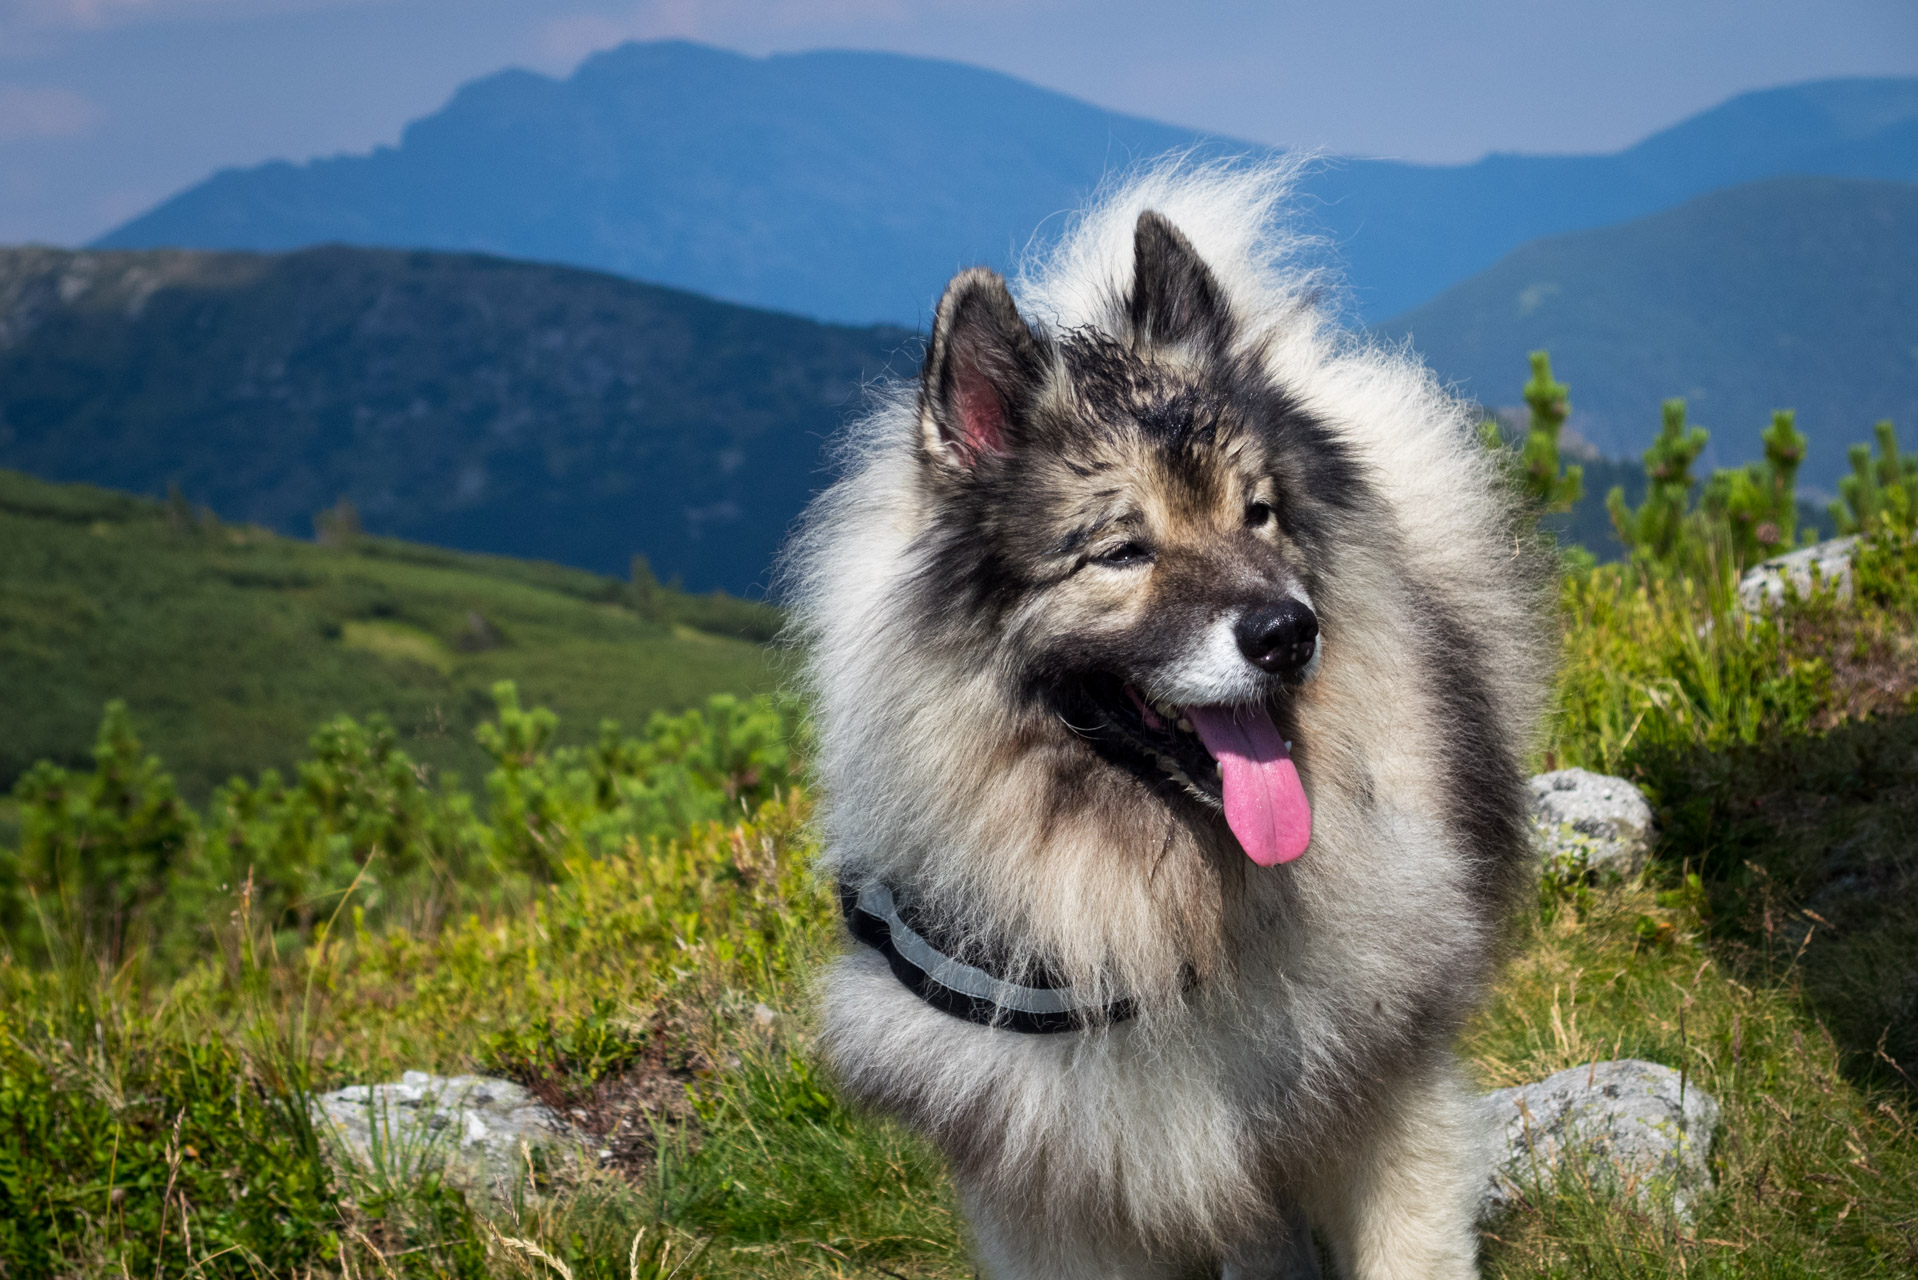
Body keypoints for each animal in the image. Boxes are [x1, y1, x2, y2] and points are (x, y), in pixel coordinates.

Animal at [786, 167, 1549, 1280]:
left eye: (1258, 512)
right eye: (1121, 551)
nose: (1287, 632)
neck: (1169, 911)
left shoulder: (1381, 1095)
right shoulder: (1059, 1192)